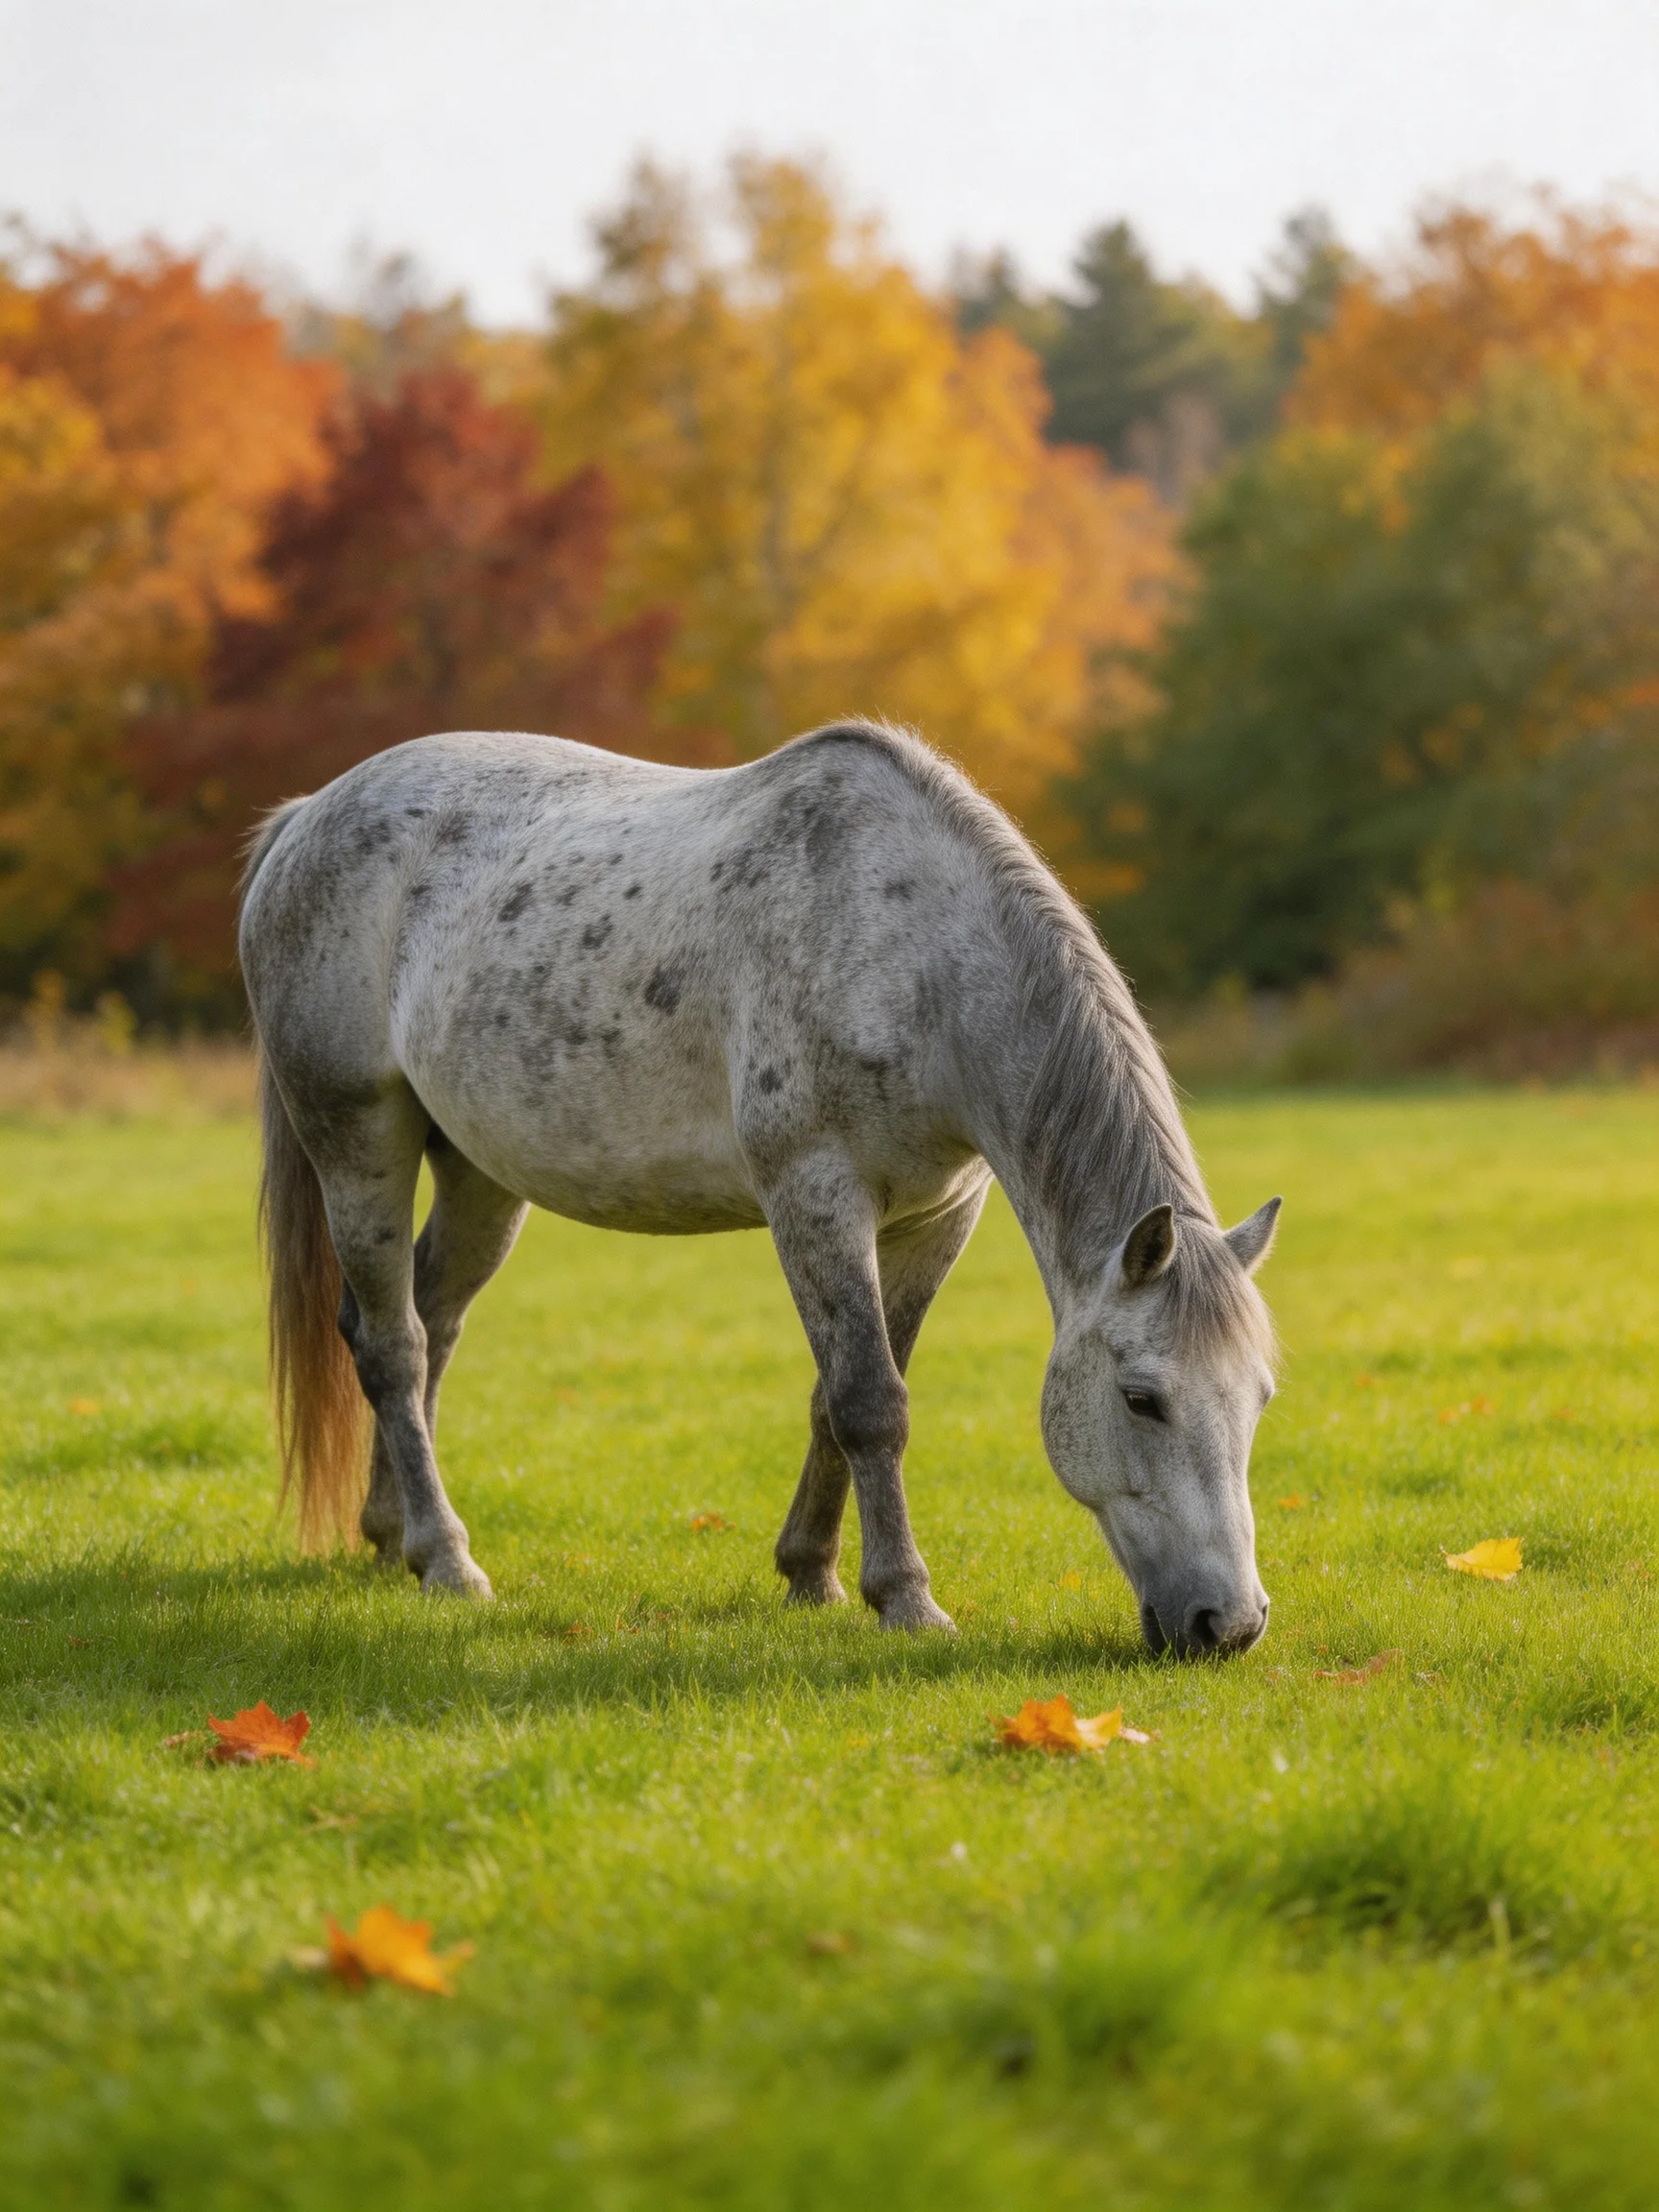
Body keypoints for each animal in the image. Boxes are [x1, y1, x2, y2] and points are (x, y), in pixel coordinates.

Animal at [239, 719, 1280, 1657]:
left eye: (1261, 1397)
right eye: (1142, 1398)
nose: (1225, 1625)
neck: (913, 953)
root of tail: (303, 820)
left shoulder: (936, 1218)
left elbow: (838, 1398)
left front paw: (811, 1575)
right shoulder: (814, 1195)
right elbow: (869, 1400)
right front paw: (906, 1599)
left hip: (479, 1175)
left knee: (431, 1324)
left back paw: (393, 1541)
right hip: (357, 1140)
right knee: (394, 1346)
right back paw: (449, 1560)